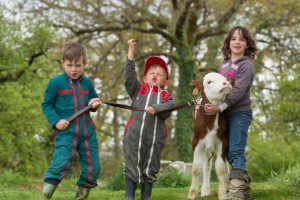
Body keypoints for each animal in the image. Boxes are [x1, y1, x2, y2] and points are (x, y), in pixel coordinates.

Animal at [188, 72, 232, 200]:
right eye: (209, 82)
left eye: (225, 79)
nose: (227, 83)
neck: (210, 121)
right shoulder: (196, 141)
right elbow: (196, 167)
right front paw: (192, 194)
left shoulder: (223, 141)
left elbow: (221, 168)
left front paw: (223, 194)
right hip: (207, 148)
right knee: (207, 165)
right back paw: (205, 190)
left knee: (226, 165)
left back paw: (227, 186)